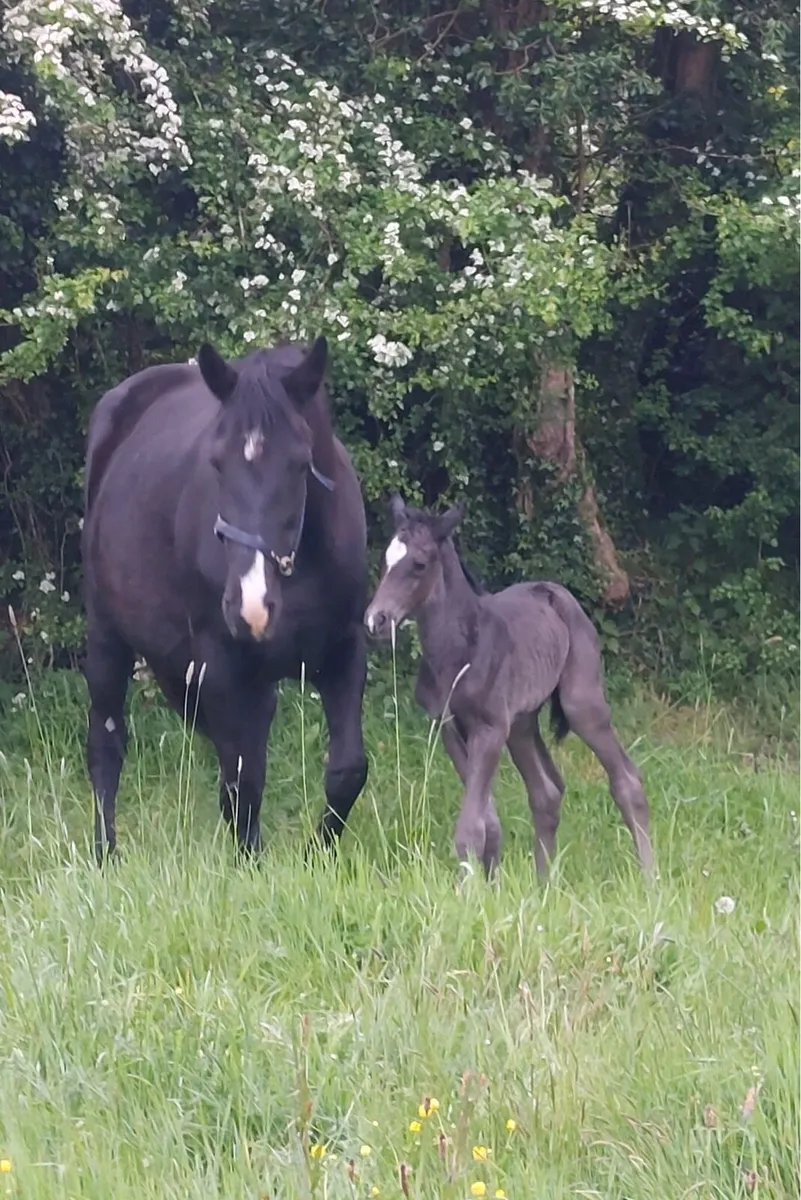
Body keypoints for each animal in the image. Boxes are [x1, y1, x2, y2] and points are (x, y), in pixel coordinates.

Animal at [81, 336, 369, 863]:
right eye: (216, 463)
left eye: (301, 462)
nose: (251, 606)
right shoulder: (222, 662)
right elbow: (242, 785)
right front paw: (252, 866)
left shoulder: (343, 651)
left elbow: (346, 770)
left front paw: (316, 856)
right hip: (108, 636)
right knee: (106, 745)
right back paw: (105, 854)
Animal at [363, 495, 653, 879]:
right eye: (386, 559)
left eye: (420, 564)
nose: (376, 620)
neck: (459, 652)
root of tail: (556, 593)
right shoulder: (449, 728)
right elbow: (488, 823)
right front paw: (488, 884)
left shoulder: (489, 728)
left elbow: (471, 828)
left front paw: (470, 888)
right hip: (521, 724)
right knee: (546, 793)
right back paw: (543, 884)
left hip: (581, 705)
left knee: (627, 781)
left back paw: (650, 878)